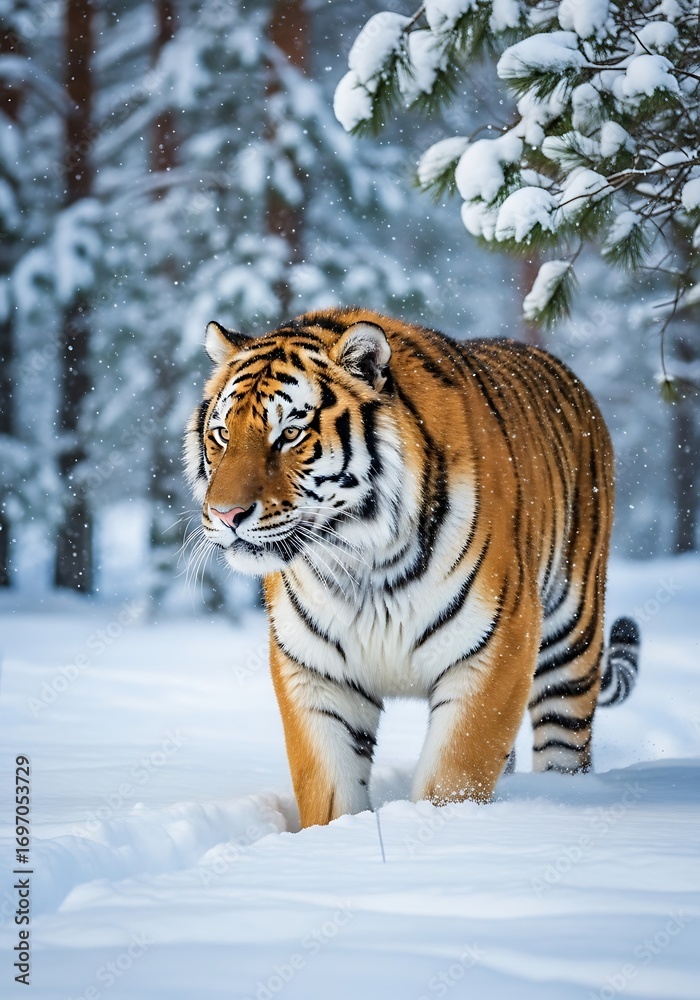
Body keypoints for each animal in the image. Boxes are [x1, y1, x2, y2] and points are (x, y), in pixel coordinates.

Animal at [184, 306, 640, 828]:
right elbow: (328, 790)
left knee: (566, 745)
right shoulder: (316, 672)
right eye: (222, 434)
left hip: (571, 639)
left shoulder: (495, 649)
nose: (225, 515)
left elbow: (455, 775)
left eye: (291, 434)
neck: (359, 558)